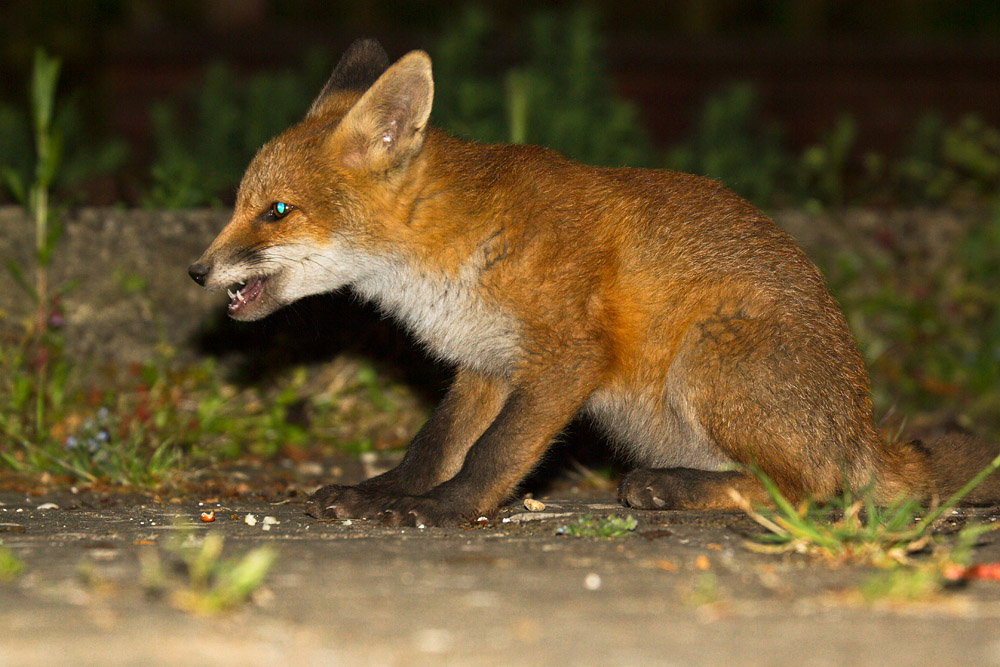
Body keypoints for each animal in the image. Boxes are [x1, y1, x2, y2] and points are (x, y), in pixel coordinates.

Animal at [188, 38, 998, 526]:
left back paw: (671, 489)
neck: (445, 252)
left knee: (812, 493)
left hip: (708, 361)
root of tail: (861, 428)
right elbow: (433, 446)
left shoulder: (563, 357)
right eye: (239, 203)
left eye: (275, 211)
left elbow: (493, 456)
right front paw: (381, 492)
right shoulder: (486, 363)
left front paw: (448, 510)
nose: (197, 270)